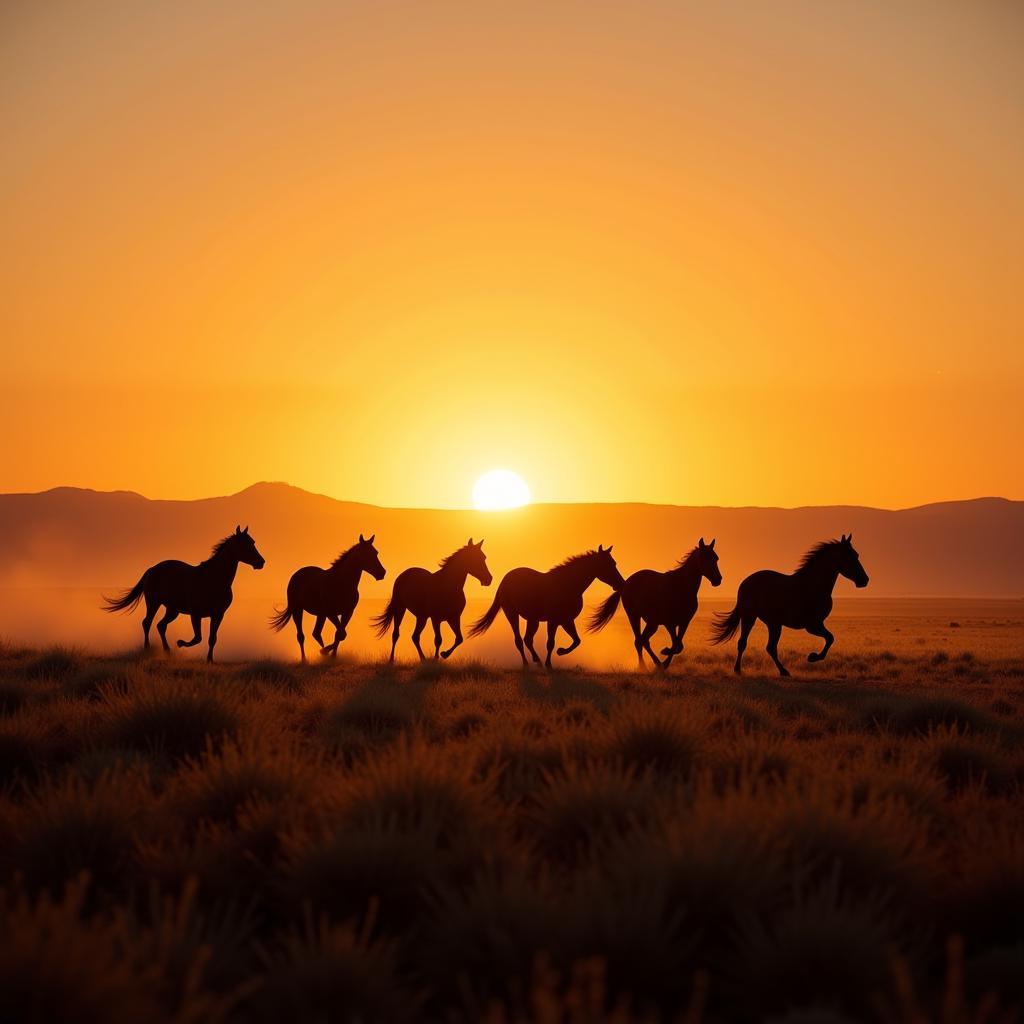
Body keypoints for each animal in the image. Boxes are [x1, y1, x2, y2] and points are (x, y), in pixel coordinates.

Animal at [100, 528, 264, 663]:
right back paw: (147, 649)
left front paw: (210, 660)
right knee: (147, 623)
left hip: (173, 610)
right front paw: (180, 643)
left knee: (161, 625)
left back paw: (167, 651)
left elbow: (212, 639)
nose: (261, 562)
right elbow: (198, 638)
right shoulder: (196, 614)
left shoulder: (218, 614)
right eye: (246, 544)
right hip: (154, 603)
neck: (213, 578)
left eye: (253, 542)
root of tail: (152, 569)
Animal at [468, 544, 622, 671]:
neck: (568, 585)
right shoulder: (553, 621)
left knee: (528, 639)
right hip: (512, 615)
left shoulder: (566, 620)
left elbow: (576, 641)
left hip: (533, 620)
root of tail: (505, 580)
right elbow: (550, 643)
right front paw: (550, 664)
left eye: (614, 563)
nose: (620, 583)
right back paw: (527, 664)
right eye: (609, 564)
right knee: (519, 640)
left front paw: (560, 652)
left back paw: (537, 660)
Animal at [589, 536, 724, 671]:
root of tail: (625, 583)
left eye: (716, 558)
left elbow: (678, 645)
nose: (717, 580)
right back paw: (643, 667)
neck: (681, 586)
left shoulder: (684, 622)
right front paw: (664, 654)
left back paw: (656, 663)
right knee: (639, 641)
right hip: (634, 617)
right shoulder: (669, 623)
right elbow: (676, 645)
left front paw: (665, 661)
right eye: (704, 557)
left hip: (652, 623)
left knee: (644, 640)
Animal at [712, 532, 872, 675]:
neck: (814, 585)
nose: (864, 580)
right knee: (753, 644)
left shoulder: (816, 624)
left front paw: (813, 657)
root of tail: (745, 583)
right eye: (850, 557)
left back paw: (775, 671)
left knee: (764, 646)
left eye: (856, 555)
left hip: (771, 623)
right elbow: (830, 638)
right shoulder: (812, 625)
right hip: (752, 617)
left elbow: (830, 638)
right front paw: (813, 657)